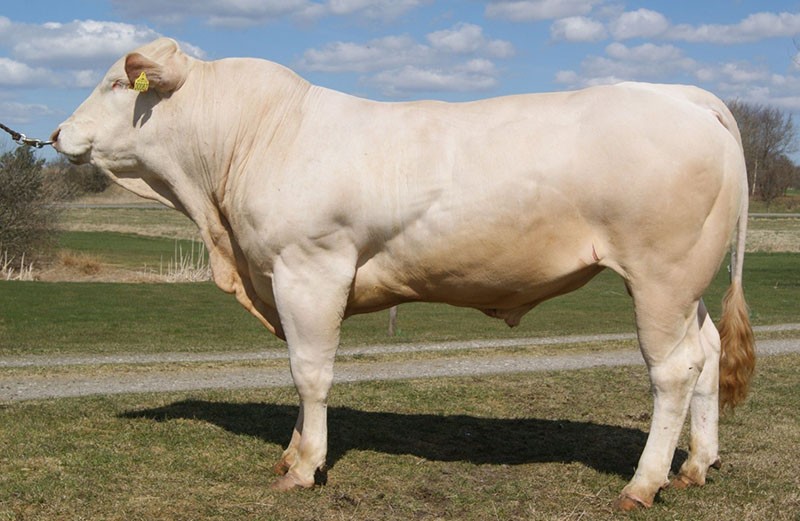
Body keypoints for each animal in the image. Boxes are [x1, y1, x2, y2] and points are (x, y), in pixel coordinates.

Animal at [51, 38, 756, 510]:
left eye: (117, 83)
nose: (57, 133)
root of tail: (683, 94)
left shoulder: (309, 268)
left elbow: (310, 371)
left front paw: (305, 467)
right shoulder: (281, 277)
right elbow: (298, 371)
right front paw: (292, 451)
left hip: (660, 273)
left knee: (672, 370)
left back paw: (643, 484)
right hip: (686, 280)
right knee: (705, 353)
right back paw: (696, 465)